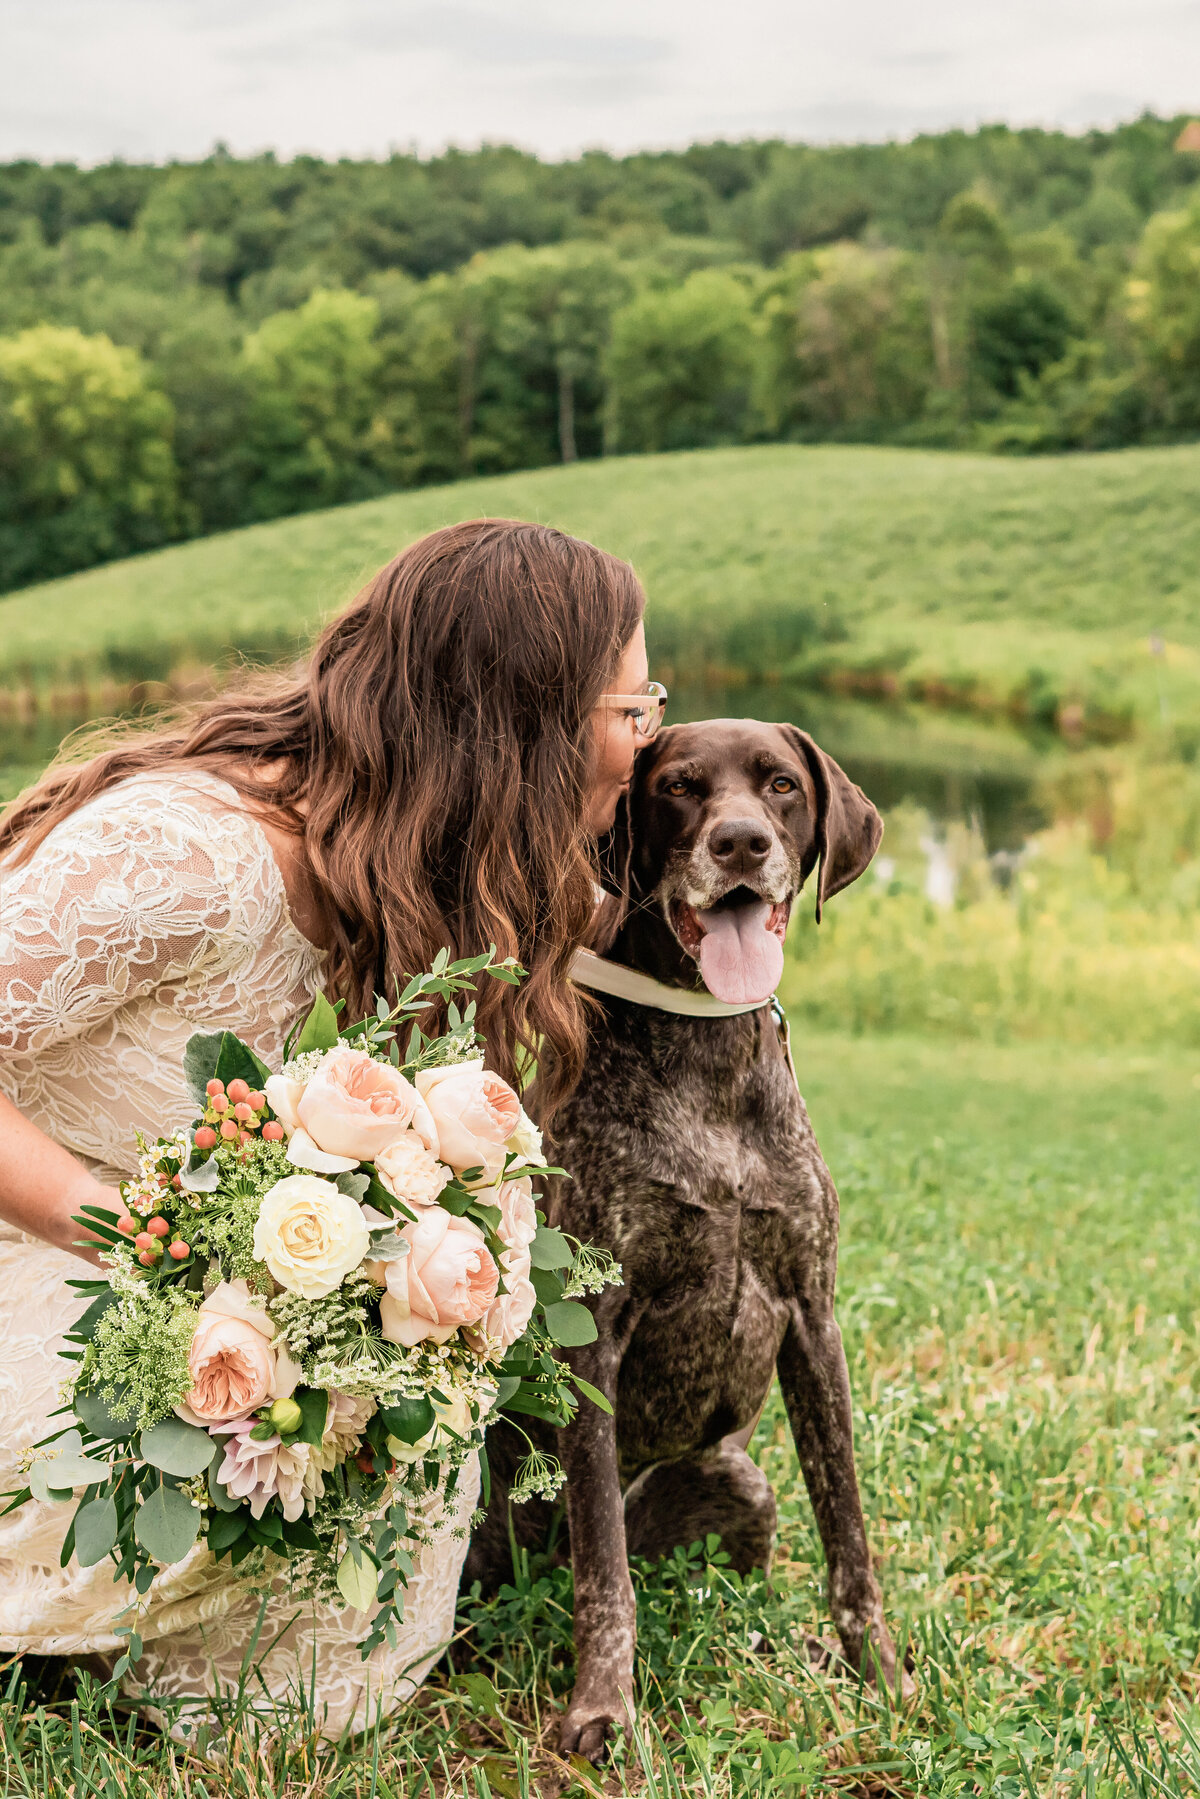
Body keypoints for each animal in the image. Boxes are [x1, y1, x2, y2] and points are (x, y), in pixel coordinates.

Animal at [467, 716, 899, 1755]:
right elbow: (606, 1574)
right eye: (678, 787)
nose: (741, 842)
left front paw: (882, 1674)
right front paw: (602, 1707)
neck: (709, 1052)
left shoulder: (812, 1320)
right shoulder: (594, 1338)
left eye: (781, 785)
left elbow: (849, 1533)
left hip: (741, 1486)